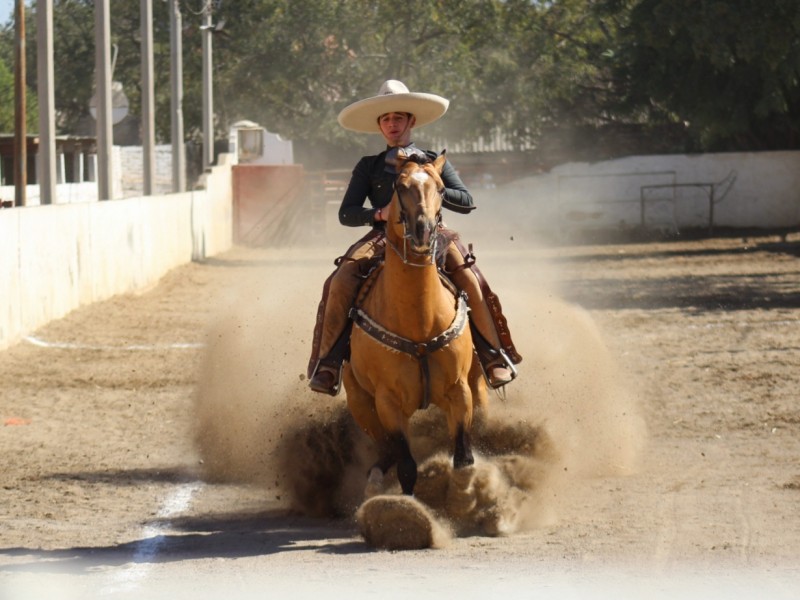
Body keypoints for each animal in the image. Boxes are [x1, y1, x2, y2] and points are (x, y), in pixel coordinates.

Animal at [342, 152, 488, 494]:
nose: (422, 230)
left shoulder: (460, 391)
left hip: (480, 388)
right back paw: (375, 480)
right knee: (385, 450)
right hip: (360, 403)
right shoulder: (388, 402)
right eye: (400, 185)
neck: (418, 322)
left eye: (441, 187)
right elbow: (407, 466)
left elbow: (464, 461)